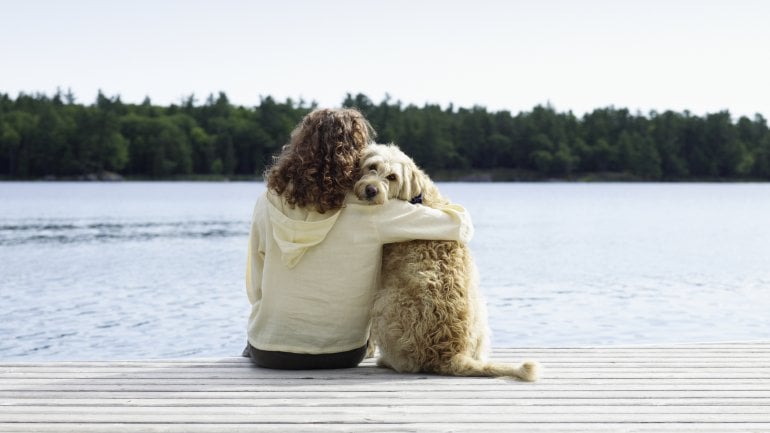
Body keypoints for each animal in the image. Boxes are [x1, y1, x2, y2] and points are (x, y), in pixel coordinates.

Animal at [356, 143, 540, 380]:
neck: (417, 196)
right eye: (372, 166)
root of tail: (450, 354)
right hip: (480, 310)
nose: (371, 190)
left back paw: (386, 361)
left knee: (406, 363)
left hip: (386, 302)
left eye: (392, 177)